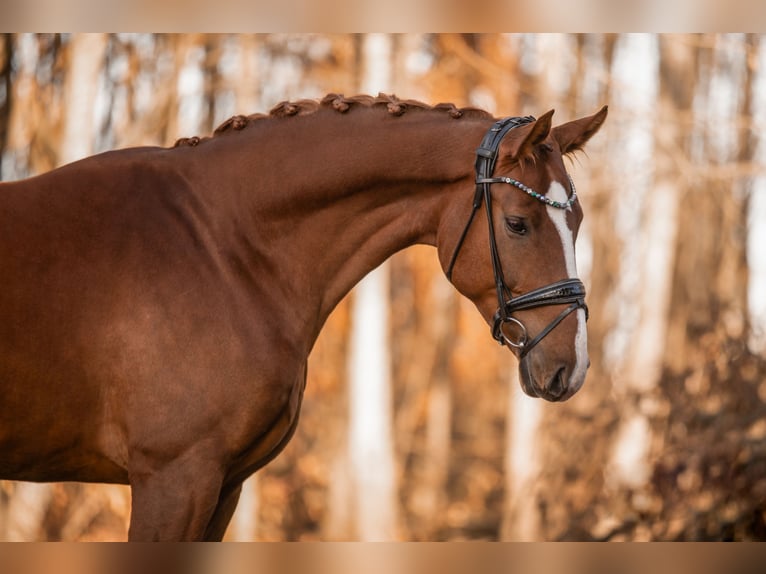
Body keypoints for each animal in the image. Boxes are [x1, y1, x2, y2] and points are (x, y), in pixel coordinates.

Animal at [1, 93, 608, 540]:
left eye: (578, 221)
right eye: (517, 224)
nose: (571, 367)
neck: (220, 247)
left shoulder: (221, 487)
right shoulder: (172, 479)